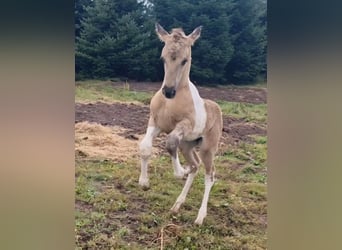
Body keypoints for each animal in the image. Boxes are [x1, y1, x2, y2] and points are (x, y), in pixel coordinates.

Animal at [139, 23, 224, 225]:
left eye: (185, 60)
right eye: (163, 58)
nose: (169, 91)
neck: (171, 102)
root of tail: (217, 107)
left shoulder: (184, 125)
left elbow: (170, 143)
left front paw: (179, 172)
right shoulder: (155, 122)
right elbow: (145, 146)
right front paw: (144, 182)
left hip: (208, 148)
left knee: (210, 174)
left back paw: (200, 217)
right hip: (187, 145)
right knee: (195, 166)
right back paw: (177, 205)